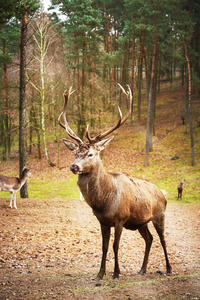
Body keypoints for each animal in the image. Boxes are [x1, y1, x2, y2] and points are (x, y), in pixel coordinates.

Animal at [58, 85, 172, 282]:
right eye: (75, 153)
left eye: (90, 154)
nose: (74, 166)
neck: (104, 201)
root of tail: (162, 192)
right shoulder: (103, 221)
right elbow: (103, 247)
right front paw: (100, 274)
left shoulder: (120, 218)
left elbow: (115, 246)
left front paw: (116, 273)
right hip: (141, 221)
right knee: (149, 239)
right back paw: (142, 269)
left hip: (160, 214)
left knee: (163, 240)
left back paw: (169, 268)